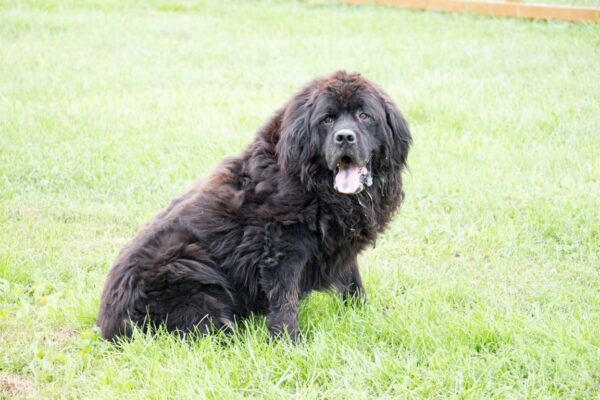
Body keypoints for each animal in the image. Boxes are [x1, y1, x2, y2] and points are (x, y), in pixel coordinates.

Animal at [98, 70, 412, 340]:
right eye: (326, 120)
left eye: (364, 115)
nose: (345, 137)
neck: (311, 181)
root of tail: (106, 326)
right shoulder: (283, 248)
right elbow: (285, 300)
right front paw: (288, 342)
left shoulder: (338, 242)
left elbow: (353, 282)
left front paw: (363, 314)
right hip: (187, 266)